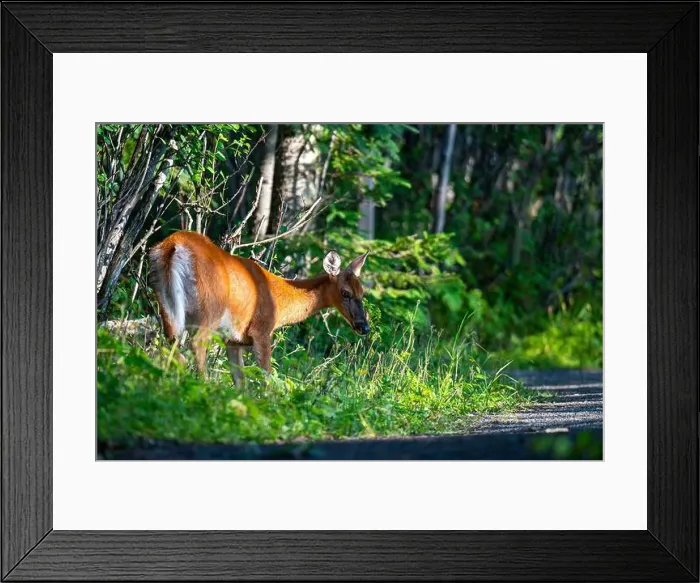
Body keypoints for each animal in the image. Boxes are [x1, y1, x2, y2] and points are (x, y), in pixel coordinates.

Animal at [148, 230, 370, 385]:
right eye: (345, 293)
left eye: (362, 293)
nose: (364, 326)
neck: (279, 299)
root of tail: (175, 244)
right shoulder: (261, 330)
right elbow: (266, 377)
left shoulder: (234, 339)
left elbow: (241, 381)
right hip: (210, 307)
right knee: (196, 344)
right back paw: (204, 384)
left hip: (165, 302)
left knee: (170, 346)